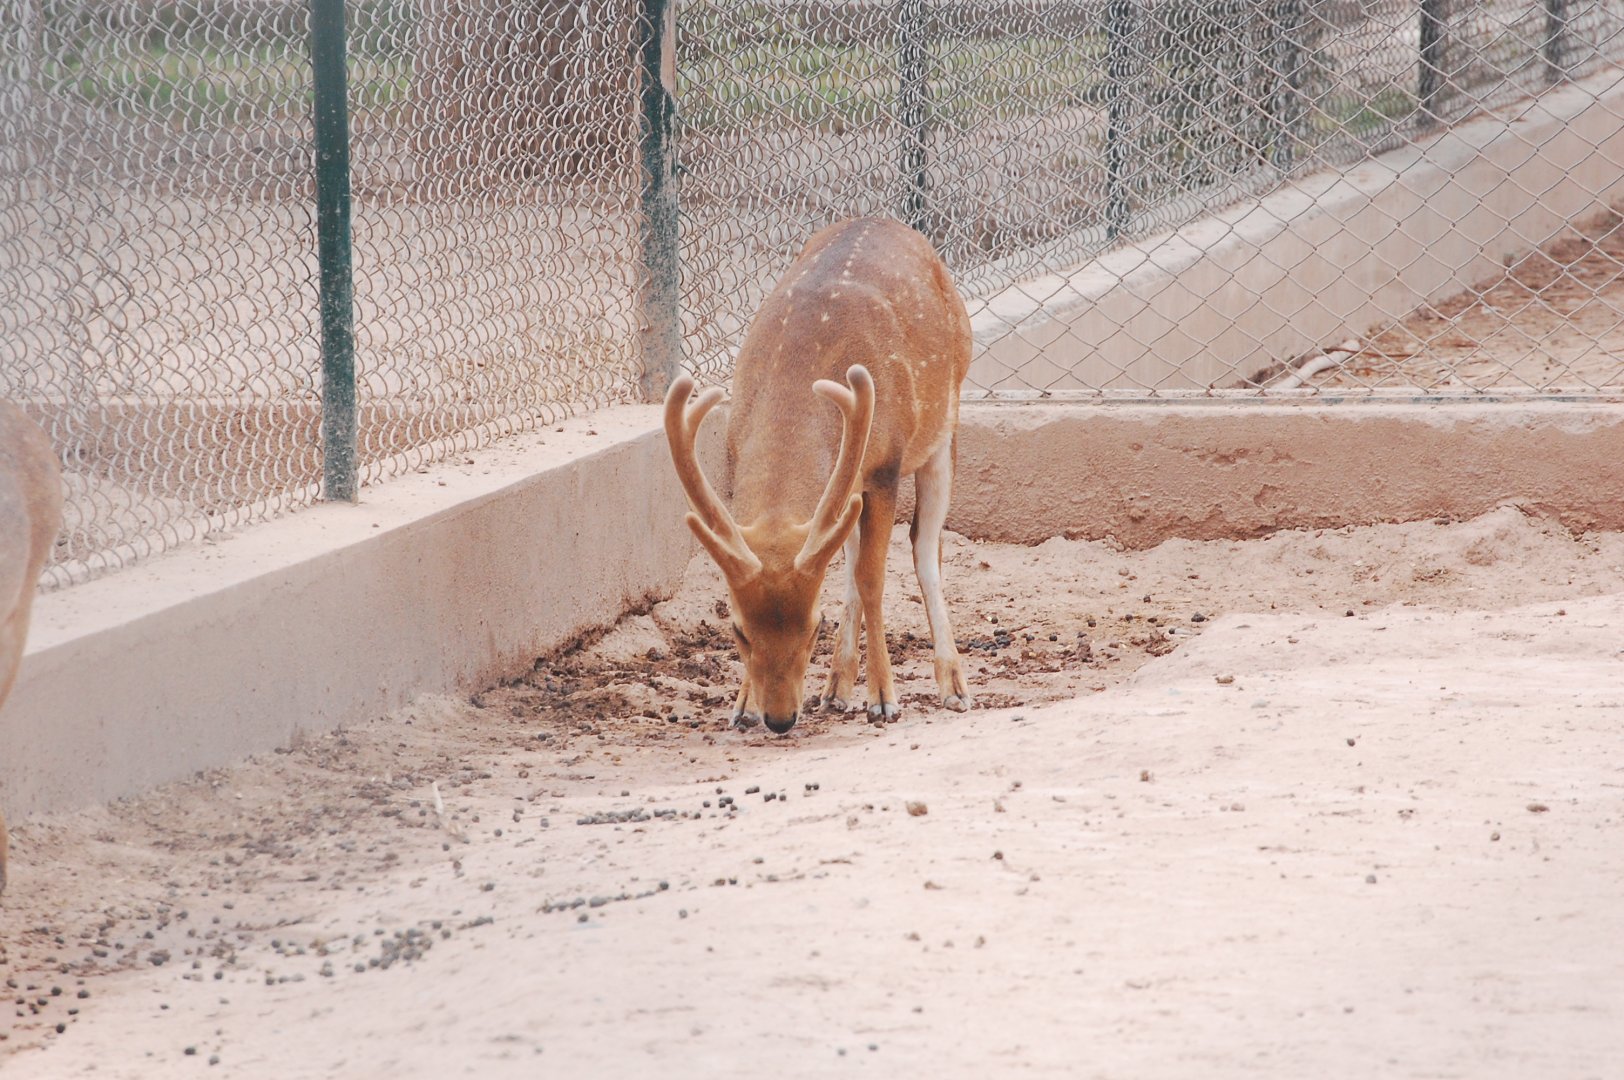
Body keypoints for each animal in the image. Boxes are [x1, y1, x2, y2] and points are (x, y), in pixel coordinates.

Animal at [663, 216, 975, 734]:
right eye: (738, 631)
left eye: (814, 626)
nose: (779, 718)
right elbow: (851, 567)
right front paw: (742, 705)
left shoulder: (885, 466)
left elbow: (873, 579)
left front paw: (884, 699)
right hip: (847, 489)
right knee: (849, 555)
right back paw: (835, 689)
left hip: (943, 429)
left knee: (925, 547)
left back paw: (953, 684)